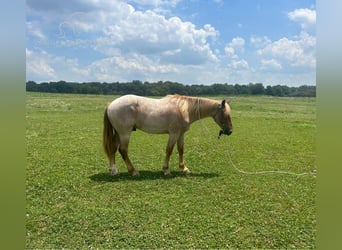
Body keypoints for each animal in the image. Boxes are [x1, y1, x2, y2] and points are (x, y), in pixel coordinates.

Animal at [103, 94, 232, 177]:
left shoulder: (181, 134)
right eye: (226, 115)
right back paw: (133, 171)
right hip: (125, 133)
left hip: (118, 133)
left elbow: (181, 149)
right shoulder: (173, 134)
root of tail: (111, 104)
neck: (185, 109)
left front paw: (184, 168)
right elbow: (169, 150)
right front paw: (166, 170)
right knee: (123, 150)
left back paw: (114, 171)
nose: (229, 131)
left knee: (113, 148)